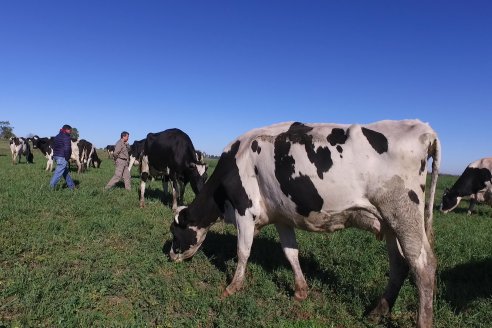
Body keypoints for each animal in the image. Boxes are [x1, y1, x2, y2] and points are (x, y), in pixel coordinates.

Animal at [170, 120, 442, 328]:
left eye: (174, 232)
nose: (171, 255)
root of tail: (424, 128)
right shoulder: (281, 216)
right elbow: (291, 252)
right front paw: (301, 290)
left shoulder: (245, 211)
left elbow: (243, 251)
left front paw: (232, 287)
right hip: (389, 223)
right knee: (399, 264)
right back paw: (377, 311)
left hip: (404, 215)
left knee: (423, 266)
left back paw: (422, 321)